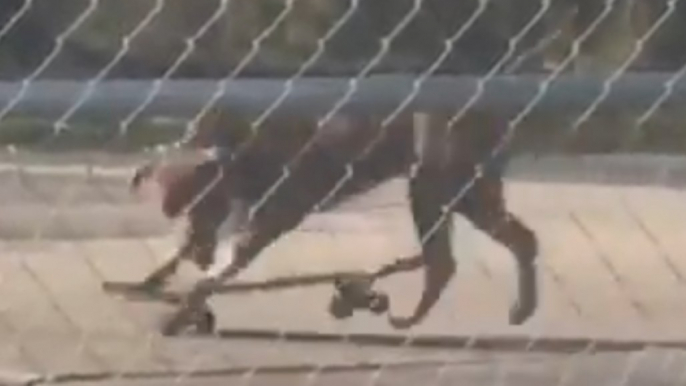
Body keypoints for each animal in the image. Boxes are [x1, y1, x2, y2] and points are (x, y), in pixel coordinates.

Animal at [130, 110, 536, 334]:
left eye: (199, 204)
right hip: (455, 189)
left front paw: (182, 310)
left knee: (444, 261)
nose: (200, 253)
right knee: (512, 242)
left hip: (441, 182)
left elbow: (220, 270)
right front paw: (155, 280)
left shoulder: (275, 213)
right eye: (181, 211)